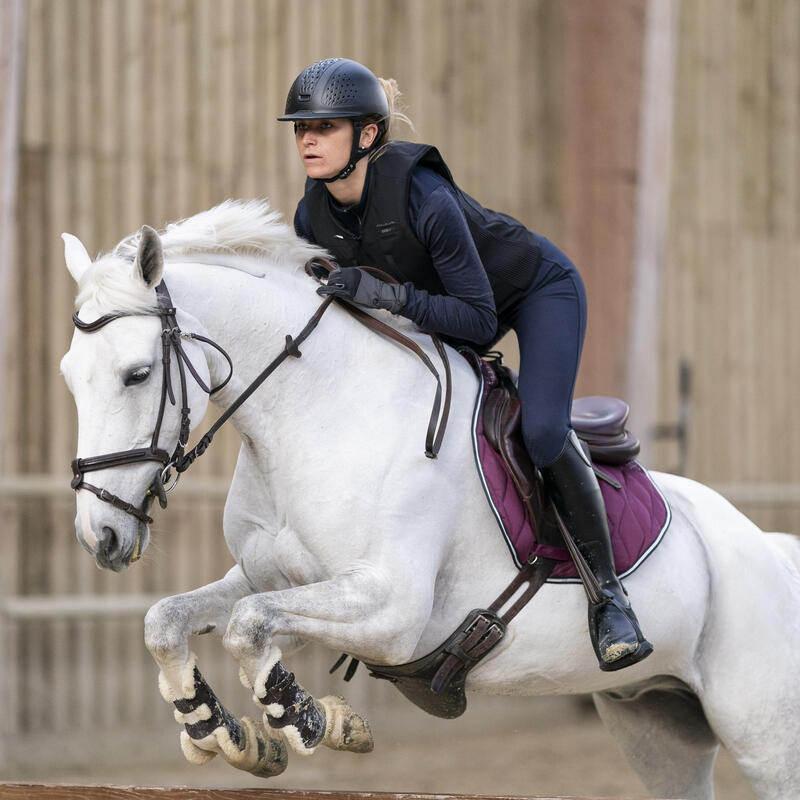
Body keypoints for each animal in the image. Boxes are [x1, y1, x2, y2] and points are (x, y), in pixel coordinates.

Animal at [61, 202, 800, 800]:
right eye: (70, 377)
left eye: (138, 374)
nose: (100, 536)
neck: (317, 410)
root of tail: (770, 548)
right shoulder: (273, 576)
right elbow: (172, 619)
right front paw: (219, 729)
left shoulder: (391, 610)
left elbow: (247, 626)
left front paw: (312, 721)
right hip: (656, 726)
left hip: (764, 737)